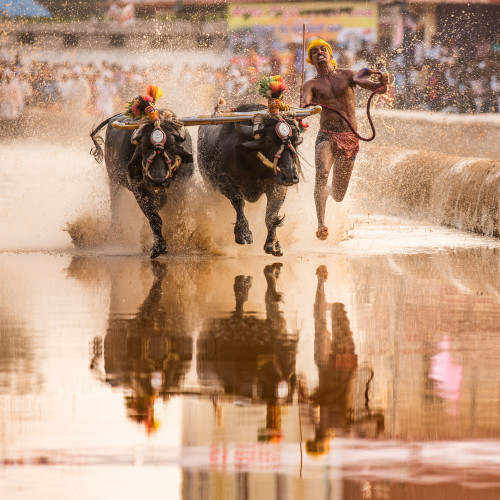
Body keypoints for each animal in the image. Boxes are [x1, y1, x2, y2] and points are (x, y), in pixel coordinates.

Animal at [90, 112, 193, 260]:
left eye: (172, 146)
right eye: (144, 146)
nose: (157, 180)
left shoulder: (180, 187)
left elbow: (173, 214)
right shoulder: (138, 190)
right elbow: (155, 218)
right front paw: (159, 247)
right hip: (114, 181)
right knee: (115, 208)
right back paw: (114, 237)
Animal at [198, 104, 300, 256]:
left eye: (296, 140)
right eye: (269, 140)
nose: (289, 175)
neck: (254, 165)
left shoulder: (278, 185)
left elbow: (272, 213)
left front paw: (273, 243)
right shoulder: (224, 179)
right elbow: (238, 200)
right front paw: (243, 233)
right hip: (209, 185)